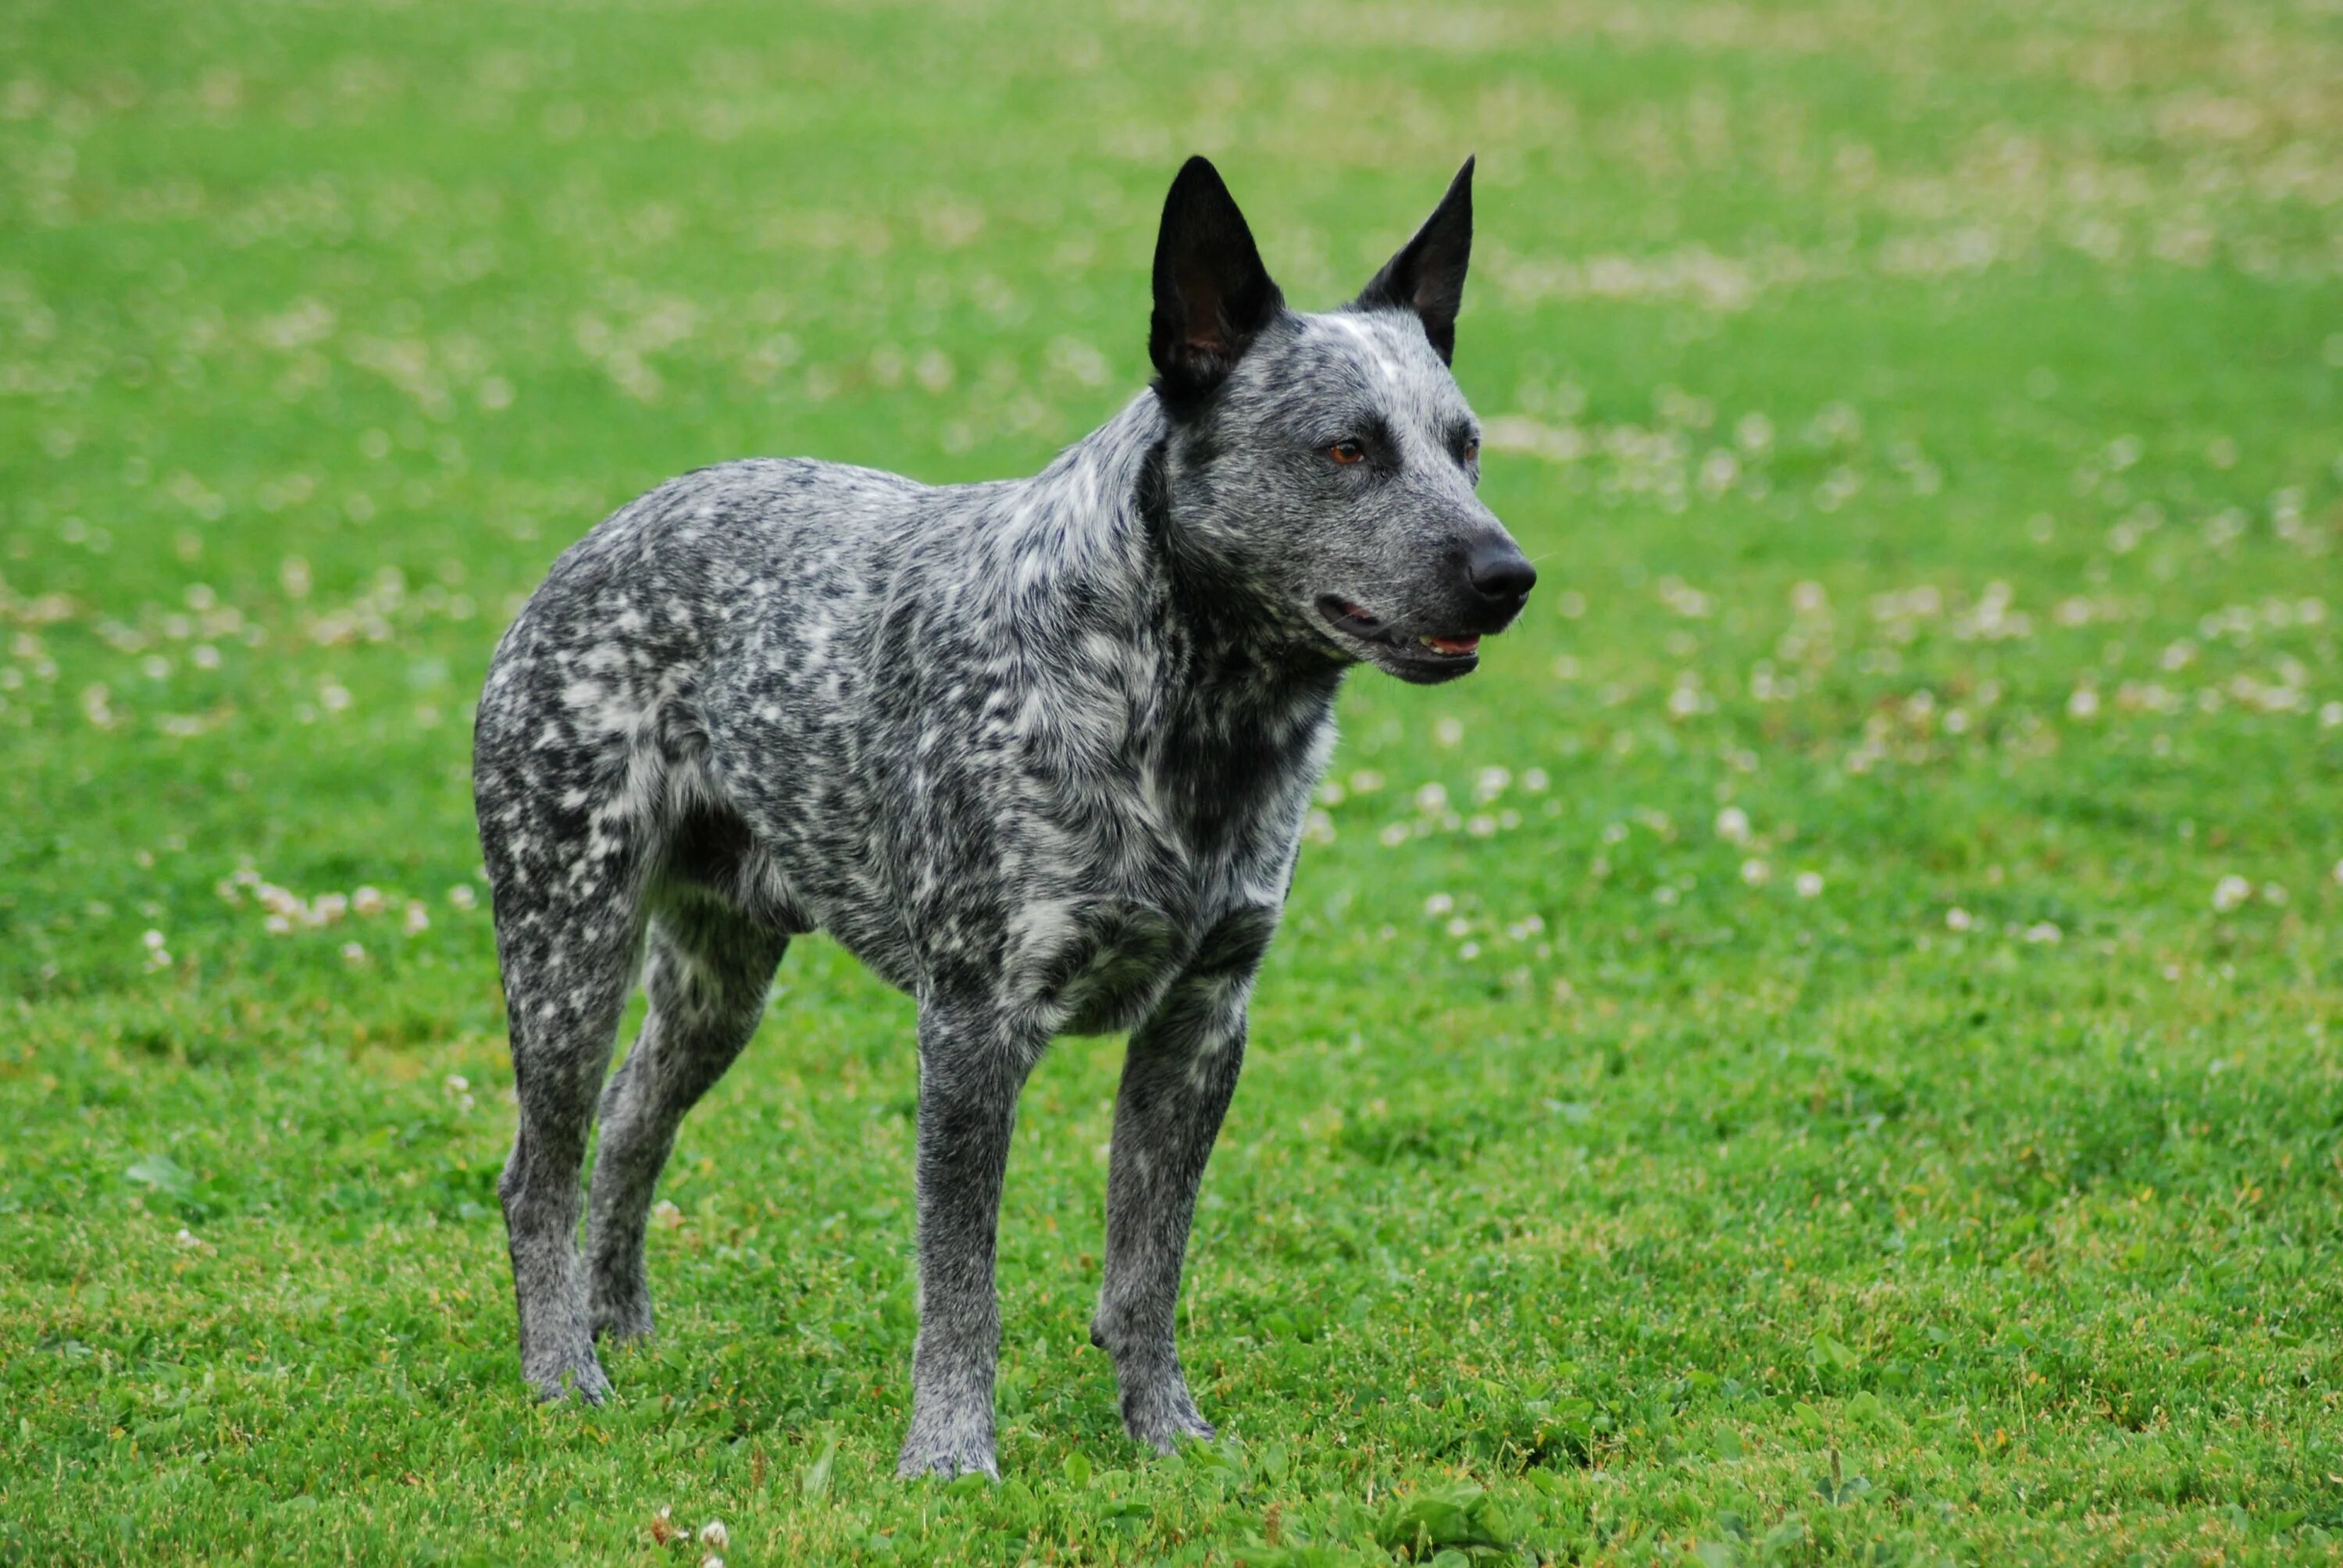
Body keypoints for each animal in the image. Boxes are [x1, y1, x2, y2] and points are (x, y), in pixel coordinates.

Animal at [476, 152, 1537, 1471]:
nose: (1508, 577)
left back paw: (621, 1327)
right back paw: (562, 1375)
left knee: (630, 1127)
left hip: (719, 977)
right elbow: (962, 1282)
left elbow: (1147, 1267)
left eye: (1466, 446)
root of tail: (594, 544)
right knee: (540, 1174)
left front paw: (1165, 1432)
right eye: (1345, 449)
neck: (1179, 713)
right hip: (568, 947)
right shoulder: (974, 1029)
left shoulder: (1203, 1022)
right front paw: (948, 1457)